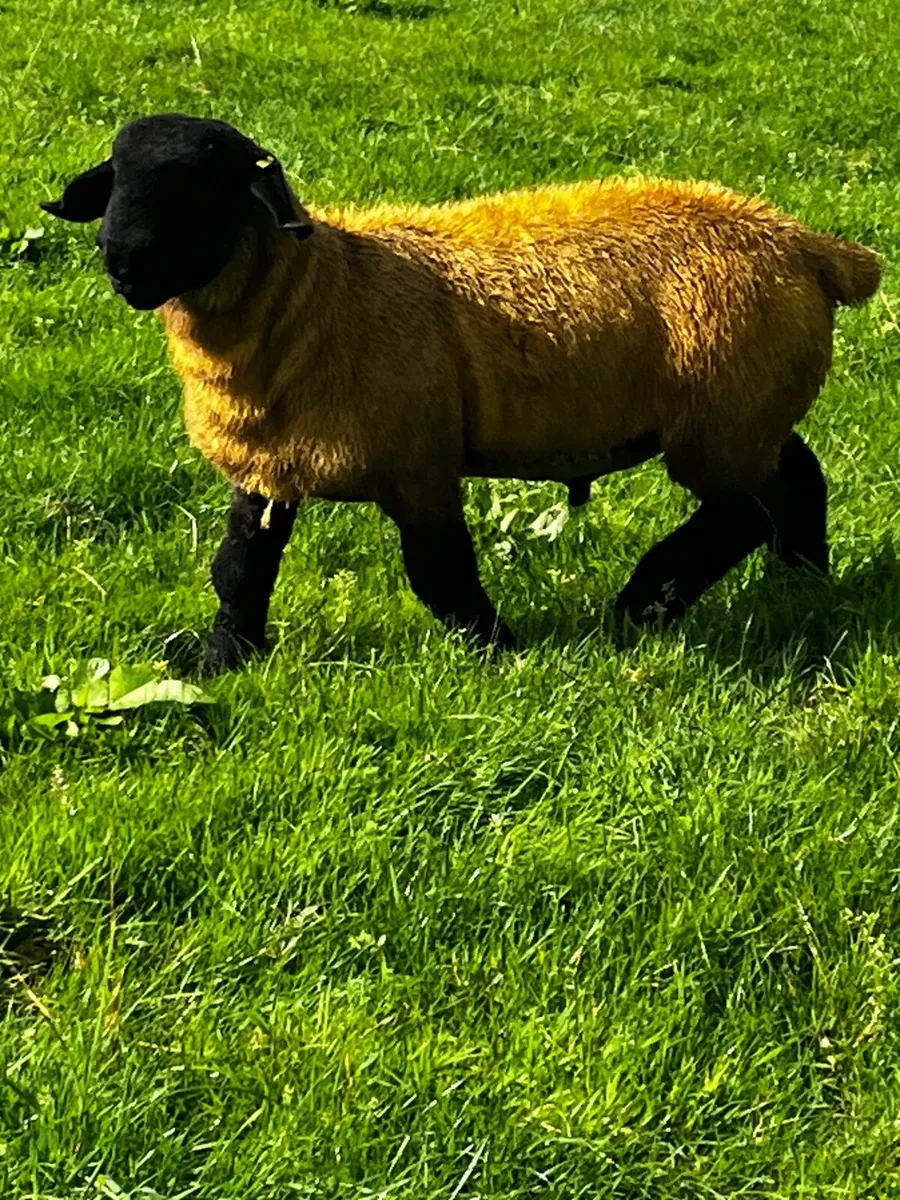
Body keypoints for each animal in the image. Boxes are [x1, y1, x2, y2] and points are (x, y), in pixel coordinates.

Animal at [41, 113, 881, 674]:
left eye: (205, 189)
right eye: (115, 182)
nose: (122, 262)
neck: (325, 289)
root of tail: (809, 246)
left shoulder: (416, 459)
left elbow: (439, 571)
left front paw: (498, 652)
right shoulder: (267, 461)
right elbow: (240, 567)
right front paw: (224, 659)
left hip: (720, 414)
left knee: (741, 509)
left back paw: (644, 602)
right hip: (750, 407)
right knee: (796, 478)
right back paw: (802, 578)